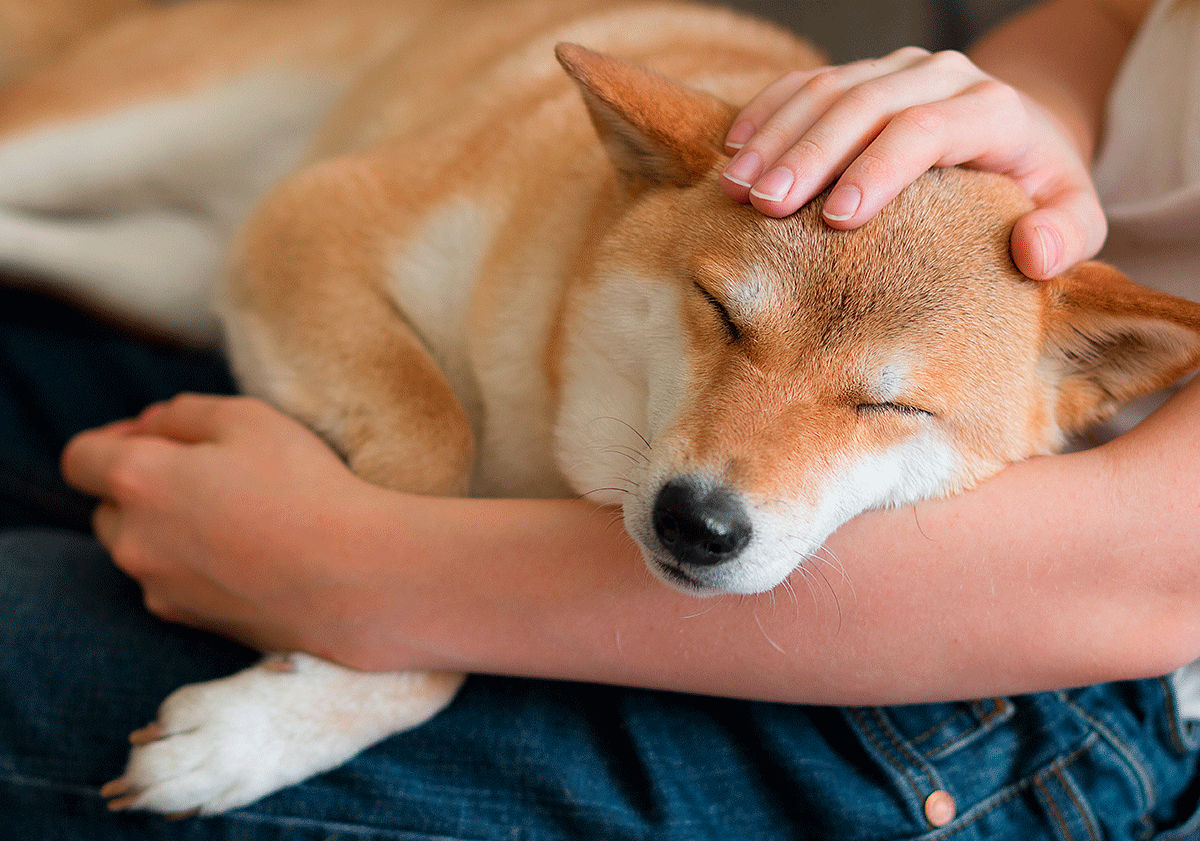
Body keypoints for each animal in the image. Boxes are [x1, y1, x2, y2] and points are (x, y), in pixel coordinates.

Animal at [2, 0, 1200, 815]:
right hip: (119, 133)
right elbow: (429, 452)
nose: (698, 523)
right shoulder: (314, 216)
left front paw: (261, 728)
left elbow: (408, 604)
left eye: (893, 407)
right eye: (722, 314)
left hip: (159, 266)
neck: (543, 417)